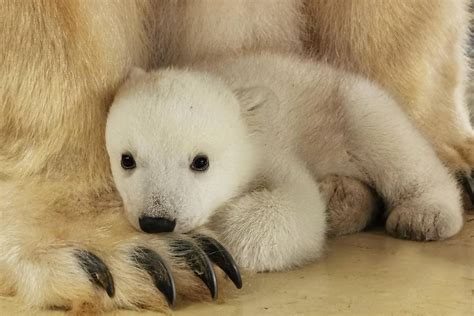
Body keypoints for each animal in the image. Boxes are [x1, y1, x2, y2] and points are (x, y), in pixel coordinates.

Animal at [0, 0, 470, 312]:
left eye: (200, 162)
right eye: (126, 159)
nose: (157, 222)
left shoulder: (269, 146)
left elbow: (295, 207)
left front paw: (211, 240)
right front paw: (128, 255)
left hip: (343, 106)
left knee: (387, 134)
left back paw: (425, 209)